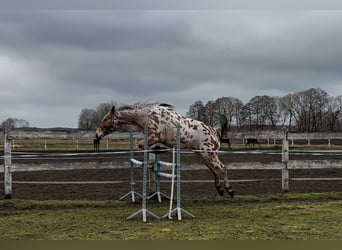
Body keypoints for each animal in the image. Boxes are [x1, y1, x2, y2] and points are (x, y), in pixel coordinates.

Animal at [96, 102, 235, 198]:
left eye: (106, 119)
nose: (97, 135)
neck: (147, 116)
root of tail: (215, 132)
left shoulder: (154, 137)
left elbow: (141, 145)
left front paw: (157, 149)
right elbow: (144, 146)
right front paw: (158, 149)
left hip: (209, 154)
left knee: (222, 168)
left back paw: (230, 191)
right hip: (201, 155)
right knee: (214, 170)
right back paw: (220, 190)